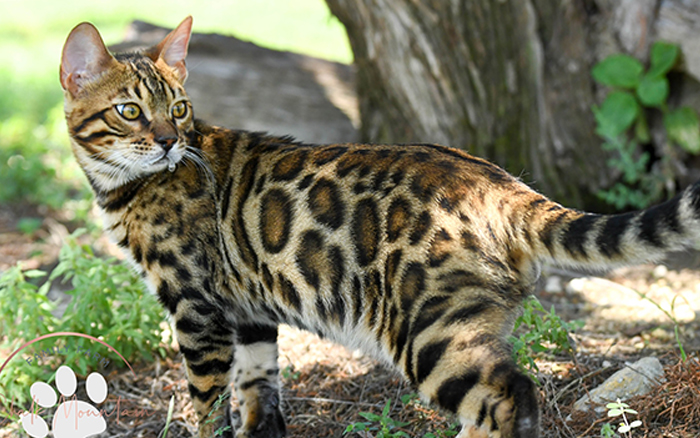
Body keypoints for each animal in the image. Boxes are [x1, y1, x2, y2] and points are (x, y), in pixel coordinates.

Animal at [63, 17, 696, 438]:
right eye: (129, 111)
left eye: (179, 108)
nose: (170, 141)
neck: (126, 186)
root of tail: (499, 181)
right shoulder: (248, 313)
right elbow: (258, 397)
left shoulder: (197, 307)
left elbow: (204, 405)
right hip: (465, 322)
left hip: (430, 328)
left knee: (508, 397)